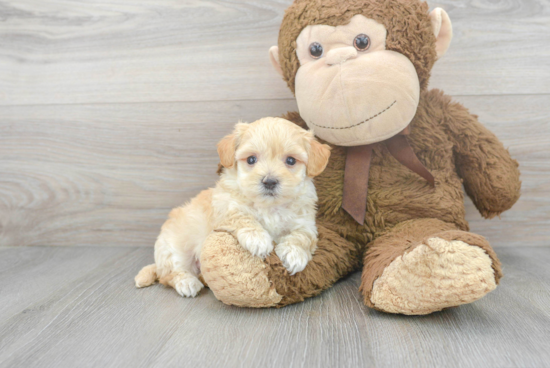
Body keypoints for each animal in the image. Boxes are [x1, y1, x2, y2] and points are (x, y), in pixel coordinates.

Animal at [134, 117, 332, 296]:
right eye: (251, 159)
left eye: (291, 161)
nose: (269, 181)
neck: (269, 207)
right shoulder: (225, 206)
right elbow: (241, 216)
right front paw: (258, 239)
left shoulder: (306, 223)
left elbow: (302, 237)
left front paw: (294, 254)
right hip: (173, 249)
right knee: (169, 274)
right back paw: (187, 282)